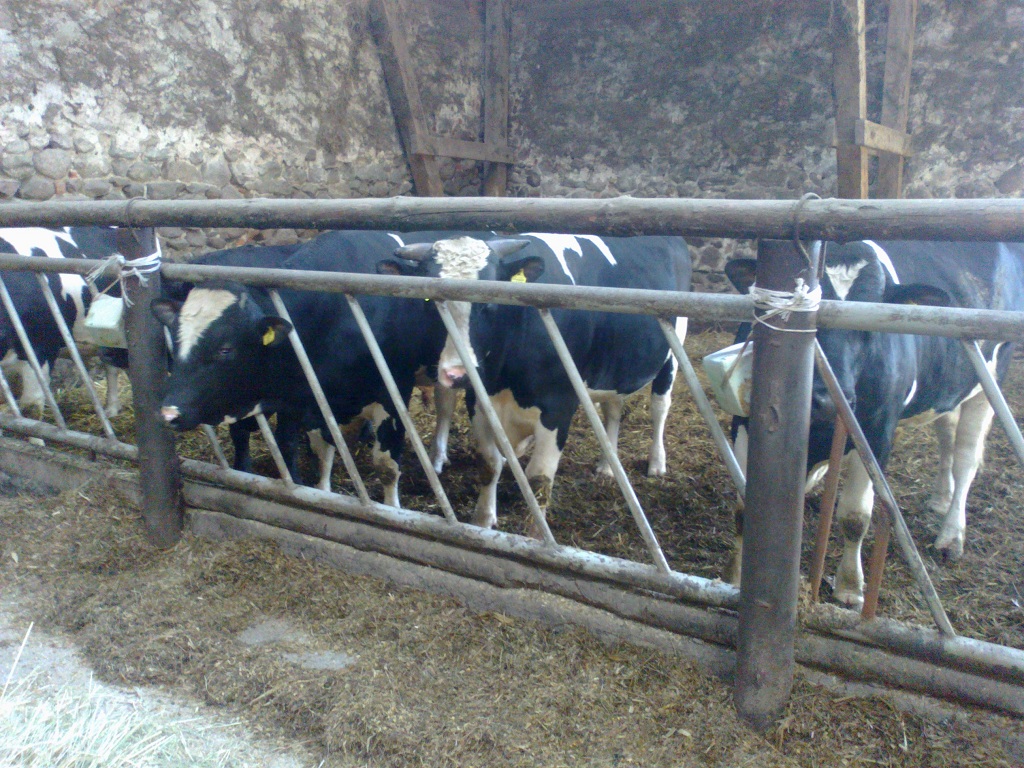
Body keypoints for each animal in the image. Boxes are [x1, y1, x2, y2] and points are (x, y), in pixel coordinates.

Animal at [151, 229, 479, 503]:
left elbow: (386, 465)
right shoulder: (312, 401)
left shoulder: (393, 392)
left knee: (445, 405)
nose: (168, 413)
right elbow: (321, 451)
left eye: (225, 348)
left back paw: (436, 459)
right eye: (175, 340)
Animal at [389, 233, 692, 536]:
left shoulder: (557, 408)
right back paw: (607, 466)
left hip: (672, 353)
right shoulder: (478, 402)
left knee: (660, 407)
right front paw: (483, 522)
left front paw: (537, 536)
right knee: (613, 410)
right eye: (429, 302)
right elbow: (489, 464)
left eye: (489, 302)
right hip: (615, 368)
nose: (457, 375)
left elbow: (539, 480)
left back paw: (656, 463)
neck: (504, 378)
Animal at [723, 239, 1024, 608]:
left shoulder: (876, 435)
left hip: (988, 382)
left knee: (966, 459)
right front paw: (734, 578)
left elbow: (855, 517)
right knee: (946, 436)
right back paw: (940, 498)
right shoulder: (744, 421)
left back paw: (951, 536)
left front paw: (849, 587)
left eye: (868, 322)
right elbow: (743, 506)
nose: (826, 399)